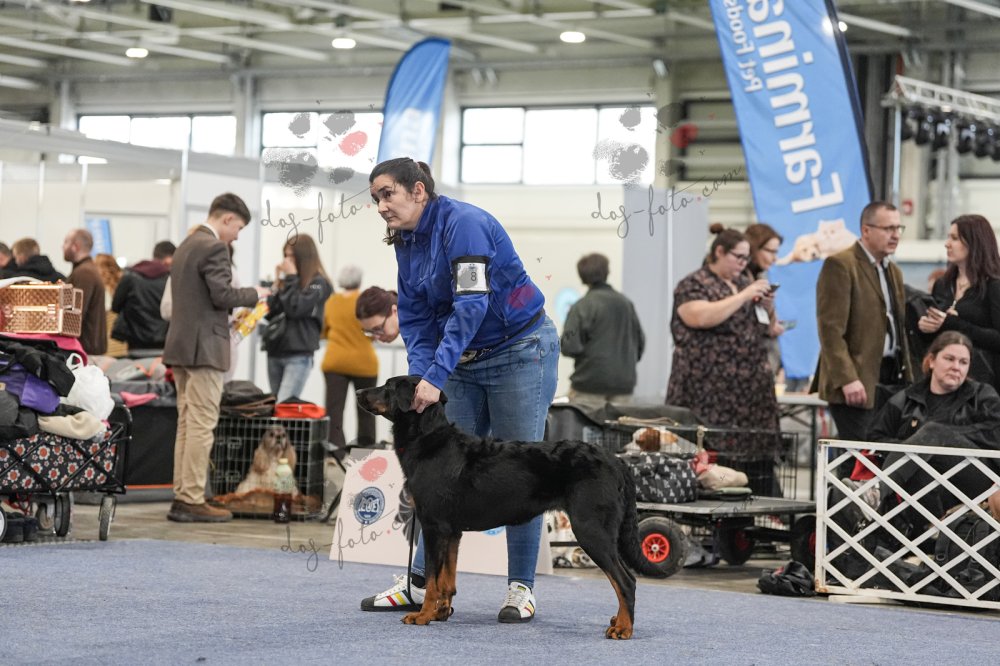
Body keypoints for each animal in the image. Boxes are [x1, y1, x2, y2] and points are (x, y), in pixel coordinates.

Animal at [356, 375, 664, 640]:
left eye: (387, 387)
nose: (359, 392)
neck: (429, 441)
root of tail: (616, 461)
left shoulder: (434, 527)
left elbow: (433, 579)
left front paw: (422, 615)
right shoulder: (451, 532)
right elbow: (447, 579)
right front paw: (441, 612)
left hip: (591, 529)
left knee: (626, 581)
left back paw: (623, 628)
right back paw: (618, 620)